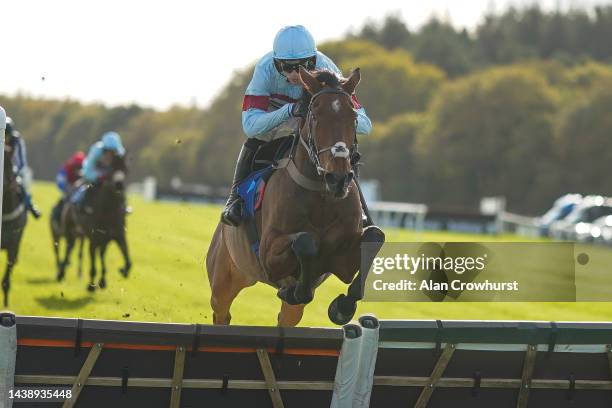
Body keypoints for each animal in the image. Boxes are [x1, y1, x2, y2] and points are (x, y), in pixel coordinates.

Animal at [64, 155, 131, 292]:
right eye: (111, 168)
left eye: (126, 168)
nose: (119, 184)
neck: (109, 211)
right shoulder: (94, 238)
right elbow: (93, 264)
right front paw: (90, 286)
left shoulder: (118, 235)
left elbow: (128, 261)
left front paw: (123, 271)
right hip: (71, 231)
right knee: (69, 249)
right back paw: (61, 272)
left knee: (101, 254)